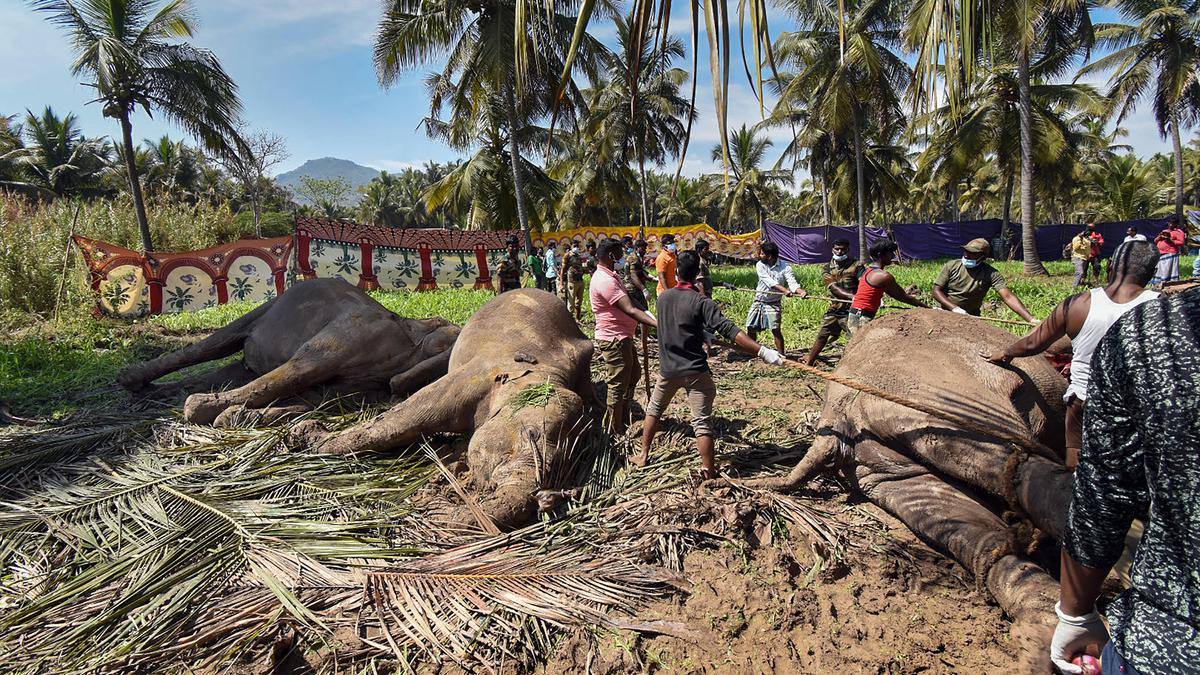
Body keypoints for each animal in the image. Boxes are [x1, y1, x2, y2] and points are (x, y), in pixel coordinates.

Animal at [118, 275, 458, 422]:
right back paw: (134, 381)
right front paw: (205, 410)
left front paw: (232, 417)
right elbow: (304, 368)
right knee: (211, 346)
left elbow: (314, 399)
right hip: (264, 312)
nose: (397, 388)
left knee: (224, 369)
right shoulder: (355, 331)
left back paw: (157, 394)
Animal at [295, 285, 595, 528]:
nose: (547, 499)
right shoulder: (476, 375)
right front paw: (305, 434)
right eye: (531, 434)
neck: (544, 369)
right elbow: (406, 417)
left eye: (567, 464)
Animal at [744, 307, 1075, 634]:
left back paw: (1040, 626)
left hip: (880, 458)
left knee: (963, 523)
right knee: (1020, 465)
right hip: (947, 402)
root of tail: (839, 411)